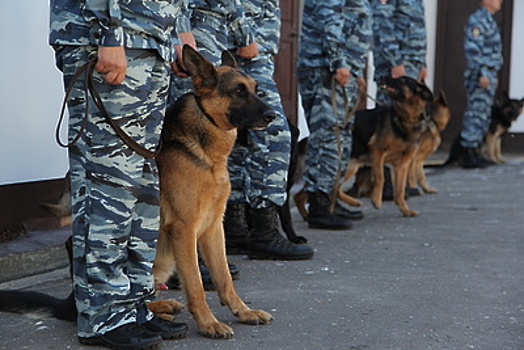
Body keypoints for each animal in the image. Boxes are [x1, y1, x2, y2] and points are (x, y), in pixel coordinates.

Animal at [0, 45, 274, 340]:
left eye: (256, 89)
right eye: (238, 91)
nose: (272, 116)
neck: (204, 149)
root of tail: (70, 304)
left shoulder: (213, 228)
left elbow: (224, 277)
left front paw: (243, 312)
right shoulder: (184, 230)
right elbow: (197, 285)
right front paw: (208, 323)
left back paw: (162, 309)